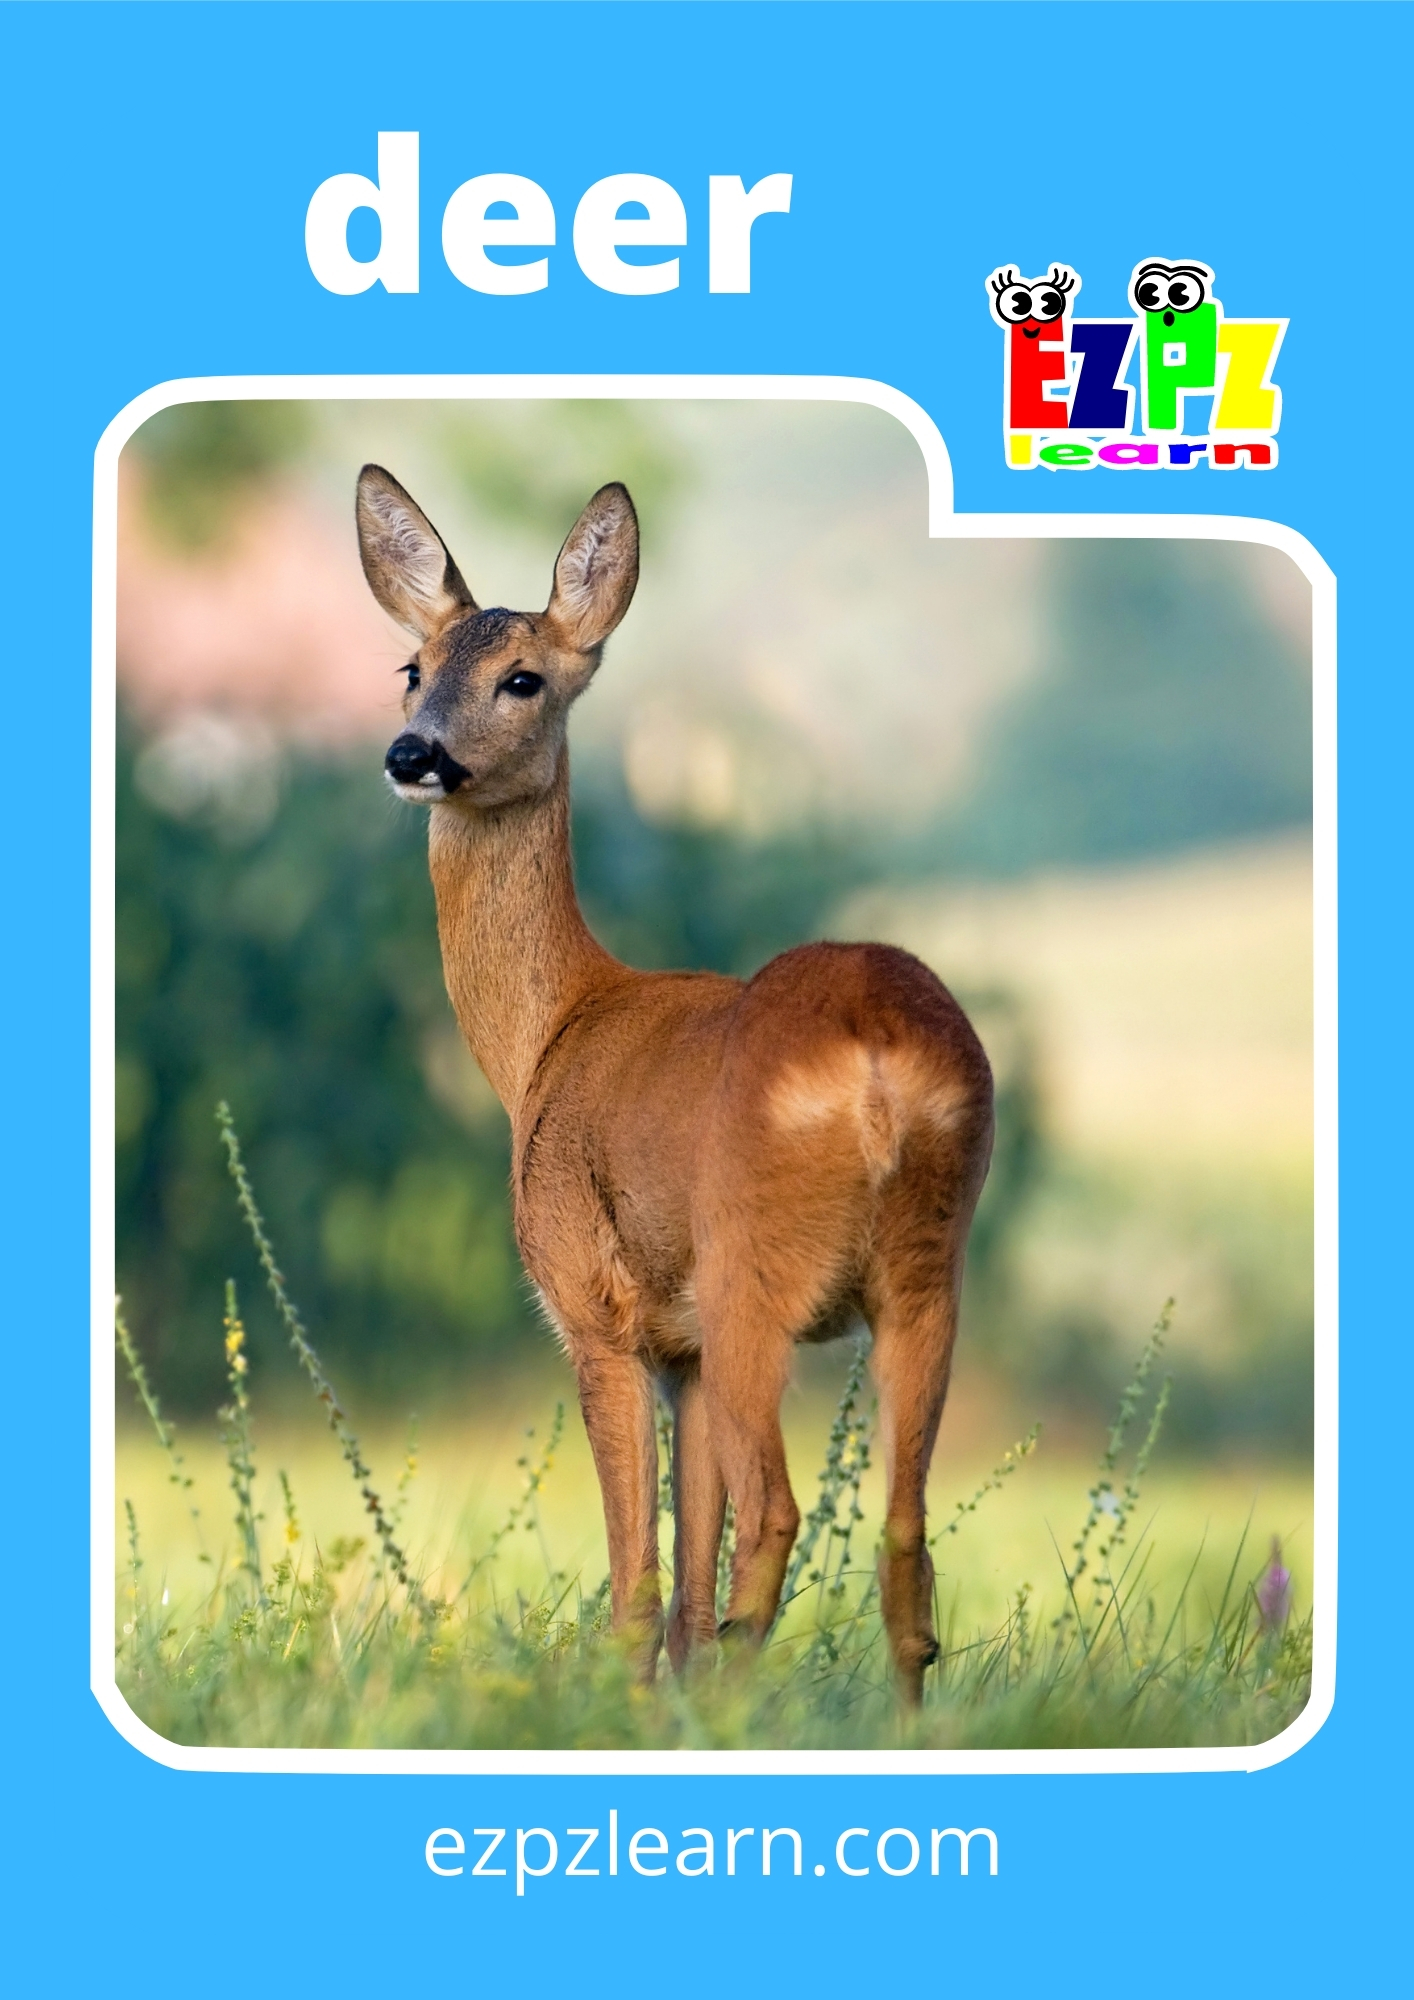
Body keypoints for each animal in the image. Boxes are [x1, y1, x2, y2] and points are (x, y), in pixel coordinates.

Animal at [355, 464, 994, 1704]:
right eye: (413, 668)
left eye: (523, 677)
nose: (413, 754)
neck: (549, 1033)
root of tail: (878, 1061)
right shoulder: (682, 1352)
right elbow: (686, 1582)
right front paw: (672, 1713)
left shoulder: (597, 1309)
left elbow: (639, 1584)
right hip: (926, 1270)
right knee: (904, 1536)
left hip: (755, 1268)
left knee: (780, 1513)